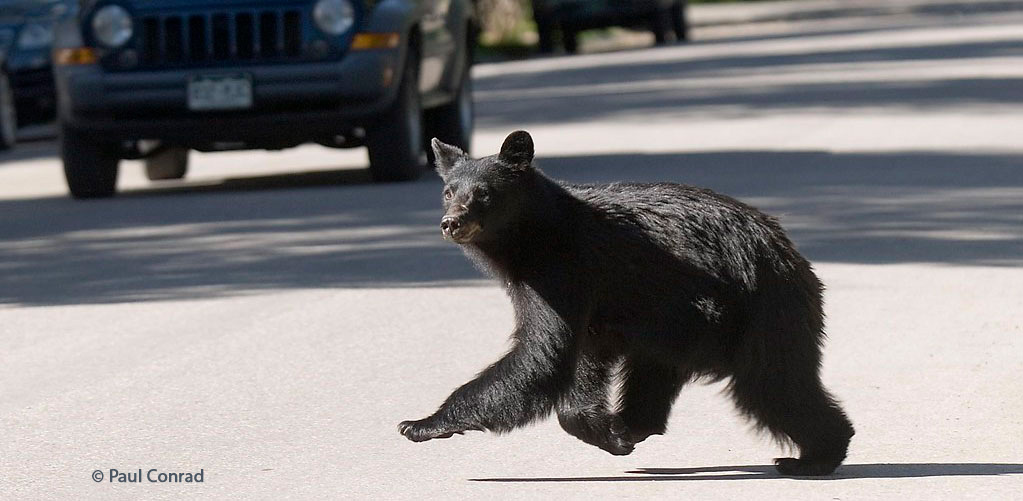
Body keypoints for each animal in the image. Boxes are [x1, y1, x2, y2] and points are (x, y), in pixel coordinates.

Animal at [398, 131, 854, 476]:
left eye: (484, 194)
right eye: (447, 191)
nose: (451, 222)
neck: (536, 235)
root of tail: (790, 253)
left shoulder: (563, 272)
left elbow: (542, 356)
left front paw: (421, 423)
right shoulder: (594, 305)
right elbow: (582, 356)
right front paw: (607, 431)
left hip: (764, 310)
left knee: (773, 385)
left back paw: (814, 457)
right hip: (685, 325)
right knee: (658, 371)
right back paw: (635, 424)